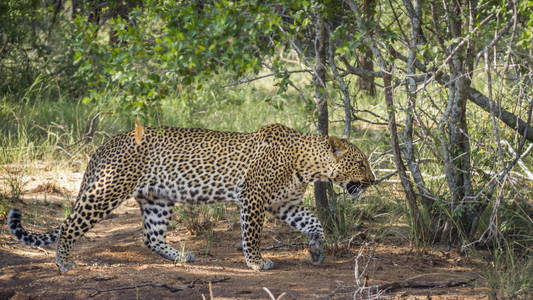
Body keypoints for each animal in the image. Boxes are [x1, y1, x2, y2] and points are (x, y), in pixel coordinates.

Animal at [8, 123, 374, 270]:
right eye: (360, 162)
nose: (372, 180)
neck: (307, 164)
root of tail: (107, 143)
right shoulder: (254, 198)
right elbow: (252, 234)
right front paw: (256, 262)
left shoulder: (285, 204)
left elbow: (314, 223)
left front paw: (316, 251)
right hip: (108, 190)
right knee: (70, 223)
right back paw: (63, 261)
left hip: (157, 199)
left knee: (150, 236)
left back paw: (181, 257)